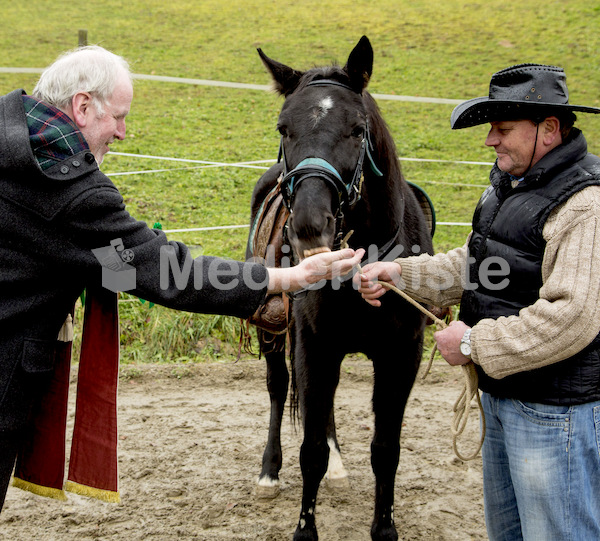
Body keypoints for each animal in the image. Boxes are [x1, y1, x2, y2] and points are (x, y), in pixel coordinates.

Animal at [246, 35, 434, 536]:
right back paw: (269, 471)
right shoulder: (315, 344)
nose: (310, 226)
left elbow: (386, 450)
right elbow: (309, 451)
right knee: (278, 387)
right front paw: (304, 529)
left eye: (357, 130)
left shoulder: (401, 355)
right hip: (276, 334)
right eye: (283, 128)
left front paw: (384, 528)